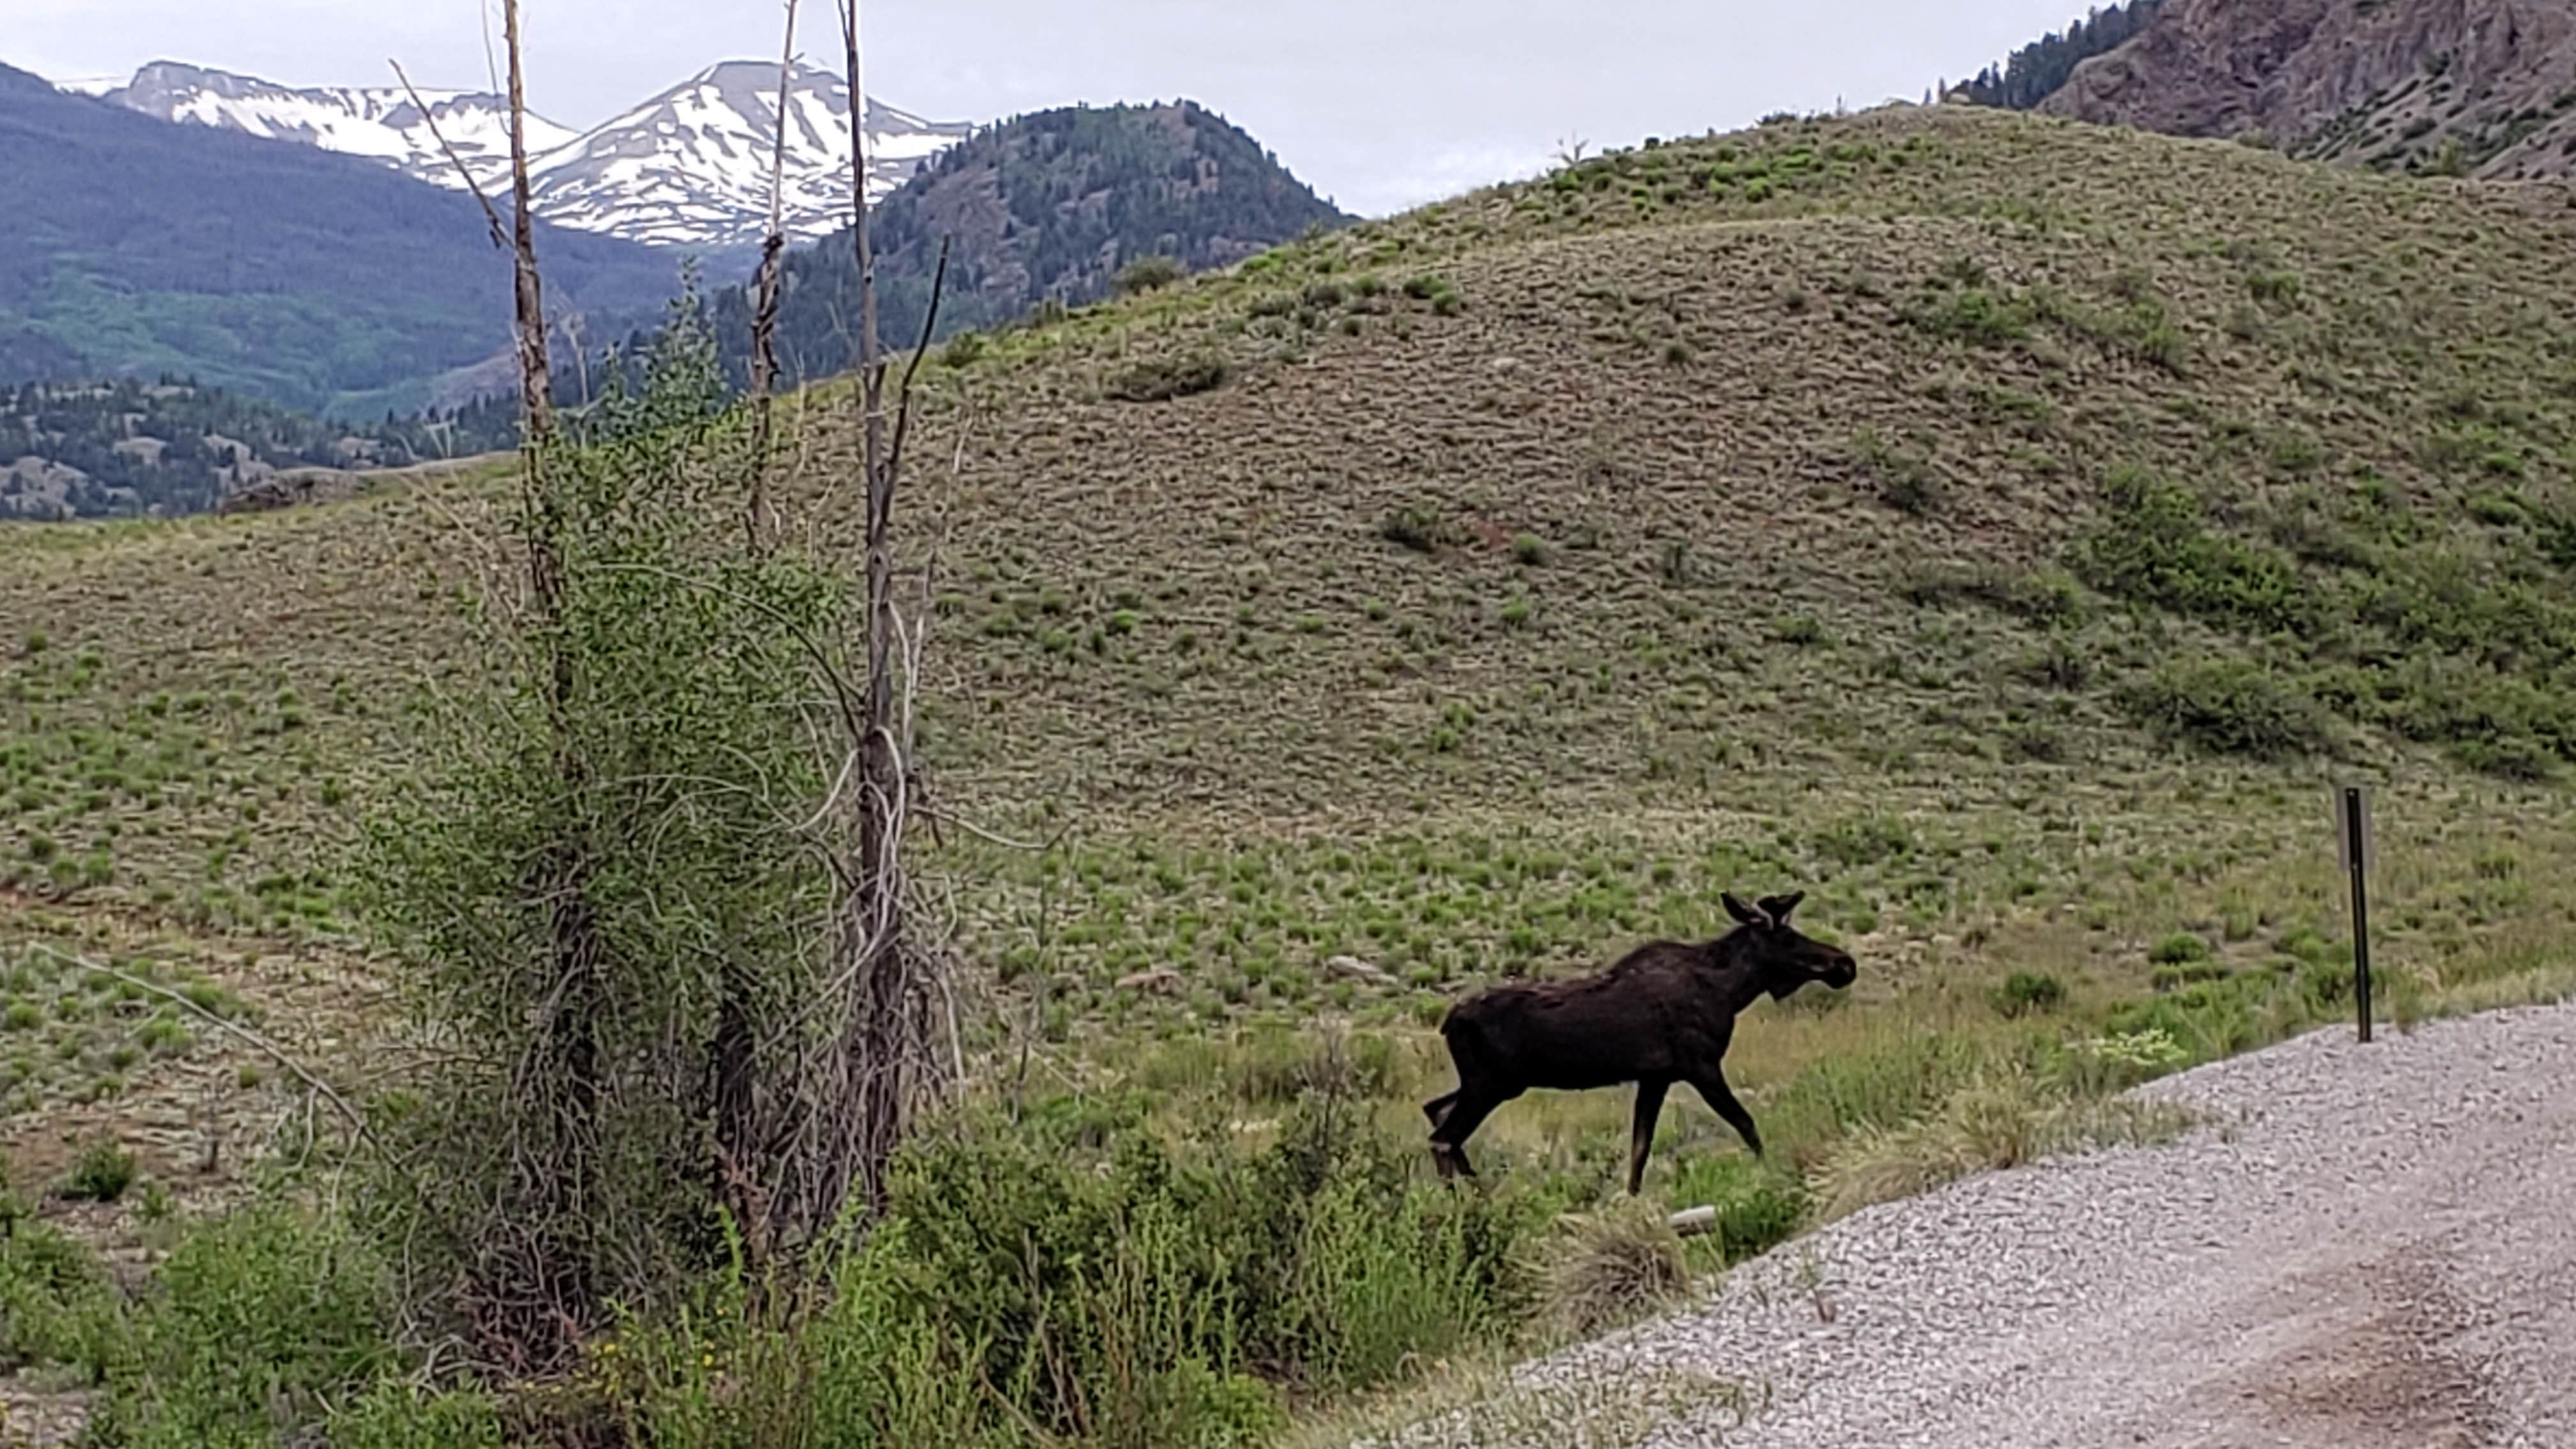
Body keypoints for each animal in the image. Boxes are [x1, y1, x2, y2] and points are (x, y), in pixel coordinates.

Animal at [1432, 887, 1855, 1191]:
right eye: (1789, 937)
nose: (1844, 963)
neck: (1731, 991)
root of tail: (1448, 1022)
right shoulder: (1701, 1066)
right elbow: (1746, 1123)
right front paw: (1769, 1171)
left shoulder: (1656, 1077)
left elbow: (1639, 1150)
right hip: (1490, 1085)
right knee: (1443, 1138)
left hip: (1487, 1084)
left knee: (1435, 1111)